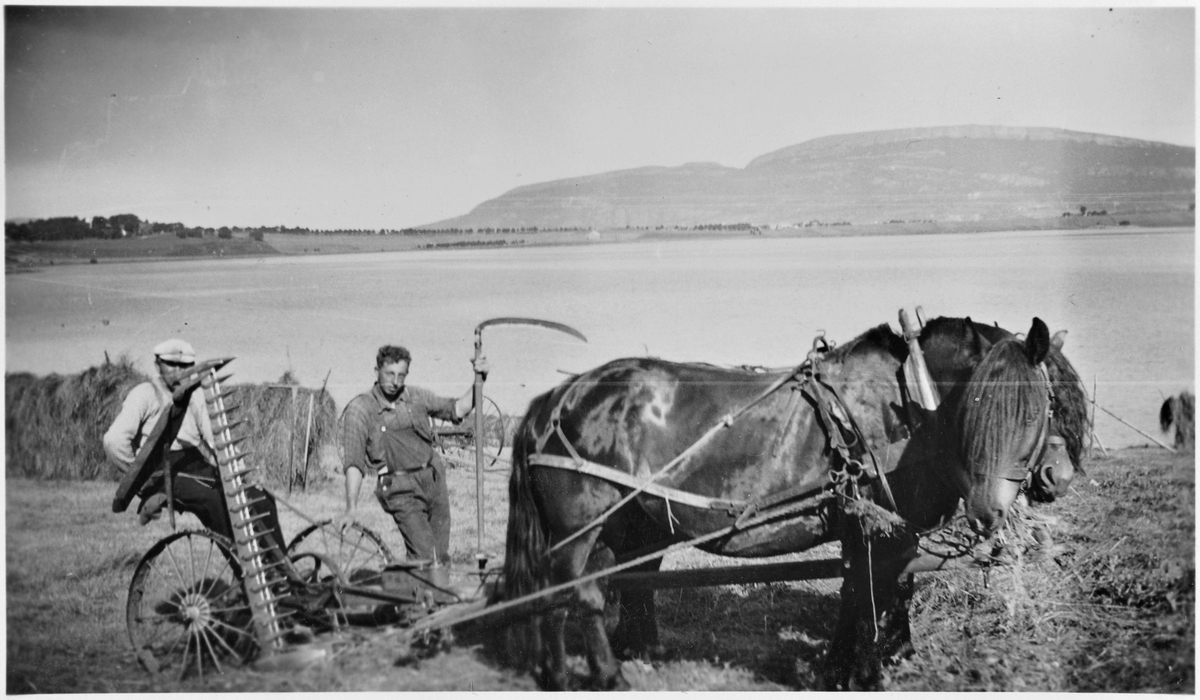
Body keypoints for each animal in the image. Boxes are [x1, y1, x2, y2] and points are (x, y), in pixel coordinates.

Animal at [492, 316, 1056, 691]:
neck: (906, 404)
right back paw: (587, 675)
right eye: (980, 404)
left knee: (590, 590)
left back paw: (588, 668)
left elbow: (861, 594)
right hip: (578, 527)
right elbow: (874, 598)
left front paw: (841, 669)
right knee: (570, 594)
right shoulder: (881, 531)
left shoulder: (868, 531)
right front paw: (867, 673)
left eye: (1034, 411)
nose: (988, 509)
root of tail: (559, 398)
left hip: (619, 523)